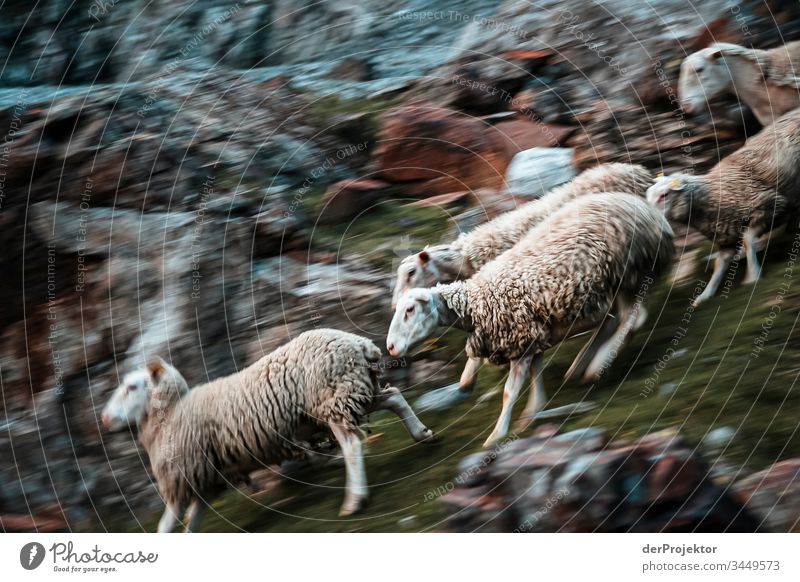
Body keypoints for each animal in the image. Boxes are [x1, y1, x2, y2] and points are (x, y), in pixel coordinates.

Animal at [103, 328, 438, 532]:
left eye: (132, 387)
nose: (105, 419)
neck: (172, 413)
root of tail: (356, 343)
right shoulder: (206, 478)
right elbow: (193, 520)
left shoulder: (182, 477)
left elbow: (166, 525)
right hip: (351, 391)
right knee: (394, 396)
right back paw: (422, 434)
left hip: (332, 399)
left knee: (352, 445)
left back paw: (354, 501)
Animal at [384, 194, 672, 450]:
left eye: (409, 309)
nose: (390, 348)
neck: (476, 302)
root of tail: (646, 208)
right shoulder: (530, 338)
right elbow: (536, 375)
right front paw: (533, 412)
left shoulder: (519, 340)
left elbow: (509, 392)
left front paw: (496, 435)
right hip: (606, 289)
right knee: (615, 320)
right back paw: (583, 365)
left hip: (627, 274)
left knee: (633, 318)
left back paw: (597, 365)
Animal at [648, 106, 800, 306]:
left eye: (664, 195)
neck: (712, 196)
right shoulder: (726, 236)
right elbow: (719, 264)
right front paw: (704, 296)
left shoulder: (768, 205)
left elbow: (748, 239)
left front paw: (752, 276)